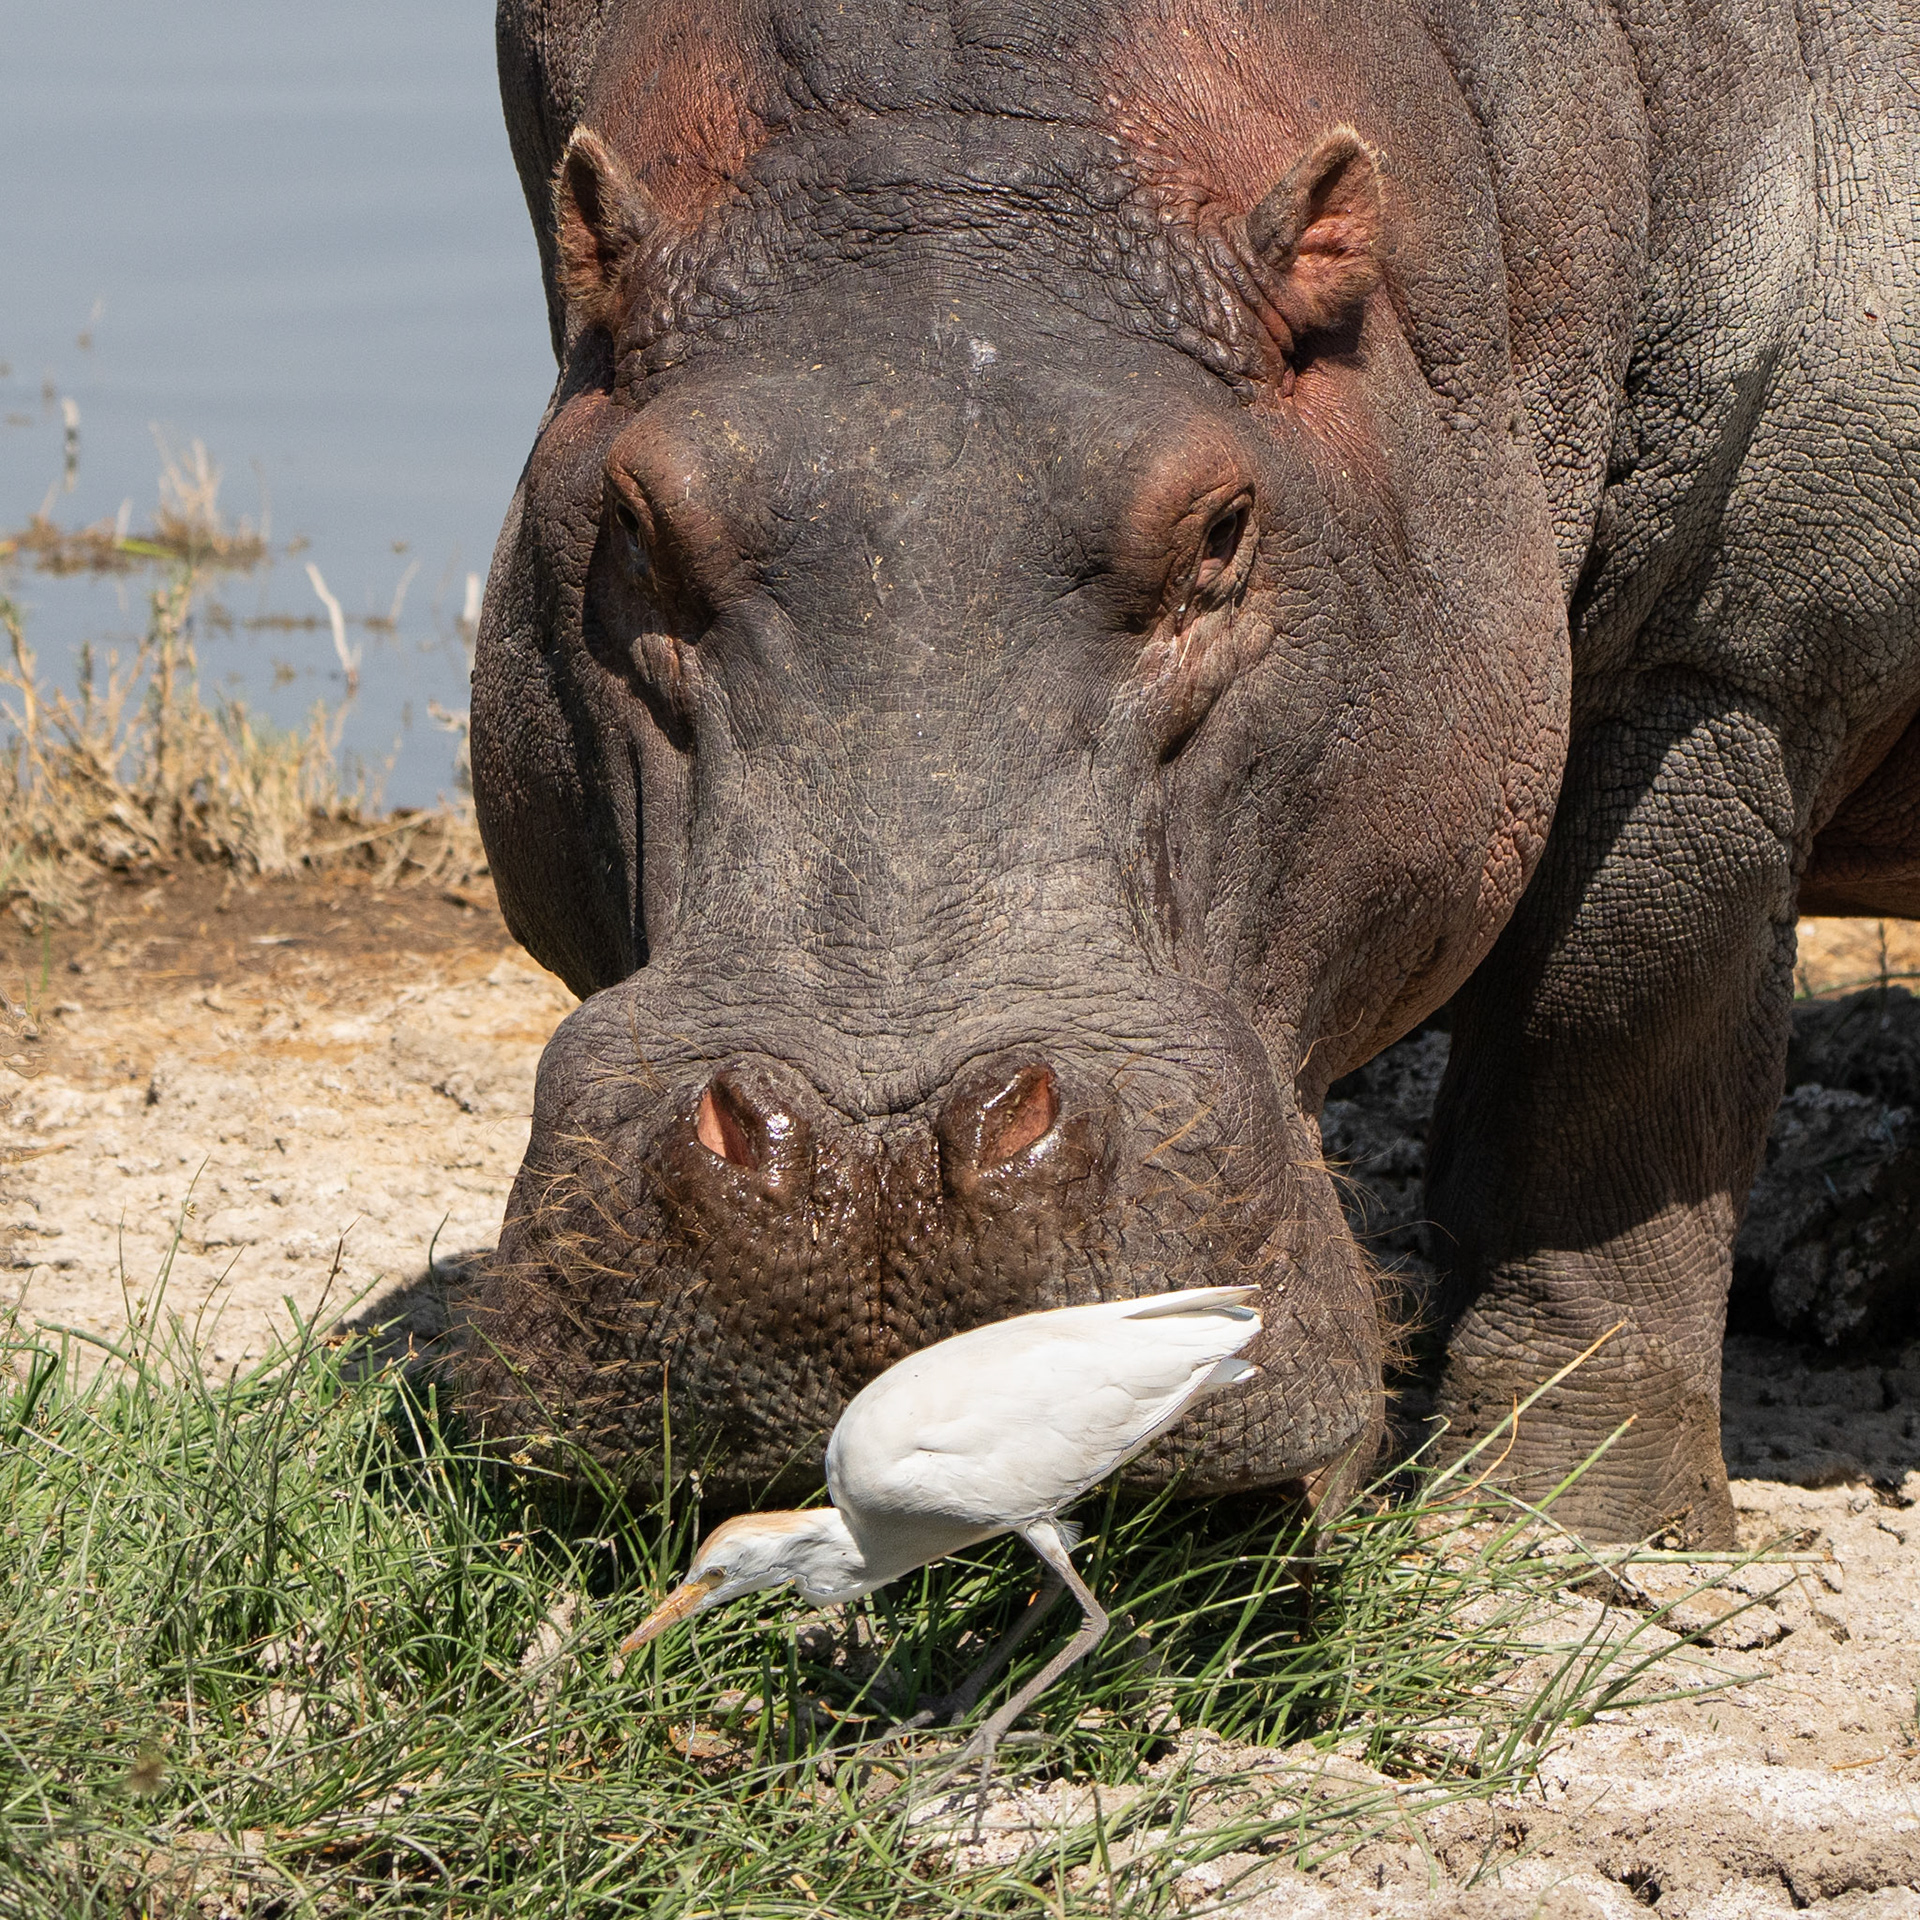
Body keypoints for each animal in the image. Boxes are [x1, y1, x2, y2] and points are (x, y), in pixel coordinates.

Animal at [466, 0, 1918, 1544]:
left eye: (1222, 528)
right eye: (637, 519)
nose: (877, 1163)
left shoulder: (1733, 655)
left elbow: (1610, 1051)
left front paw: (1563, 1516)